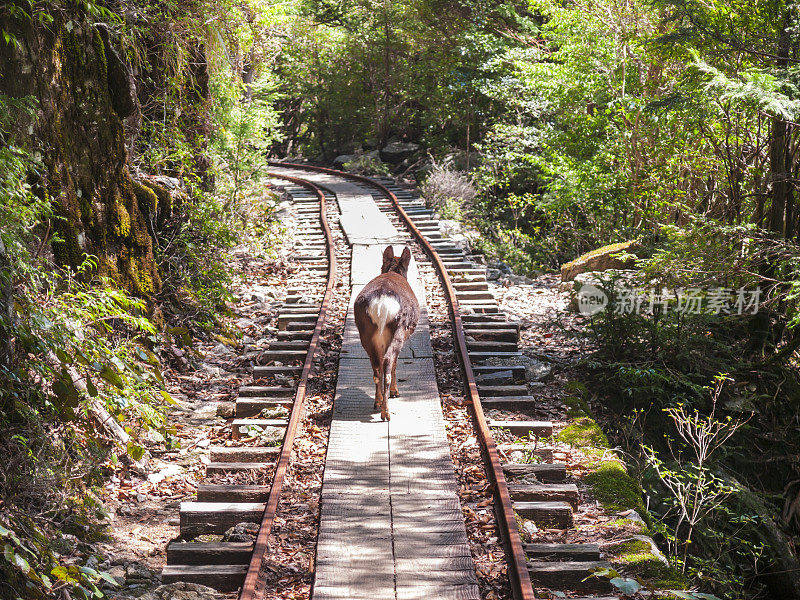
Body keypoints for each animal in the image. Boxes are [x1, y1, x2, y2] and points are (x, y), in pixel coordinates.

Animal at [354, 246, 422, 420]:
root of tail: (381, 305)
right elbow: (396, 363)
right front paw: (395, 392)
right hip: (399, 330)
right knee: (388, 361)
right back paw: (386, 411)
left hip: (366, 333)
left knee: (377, 367)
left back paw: (377, 402)